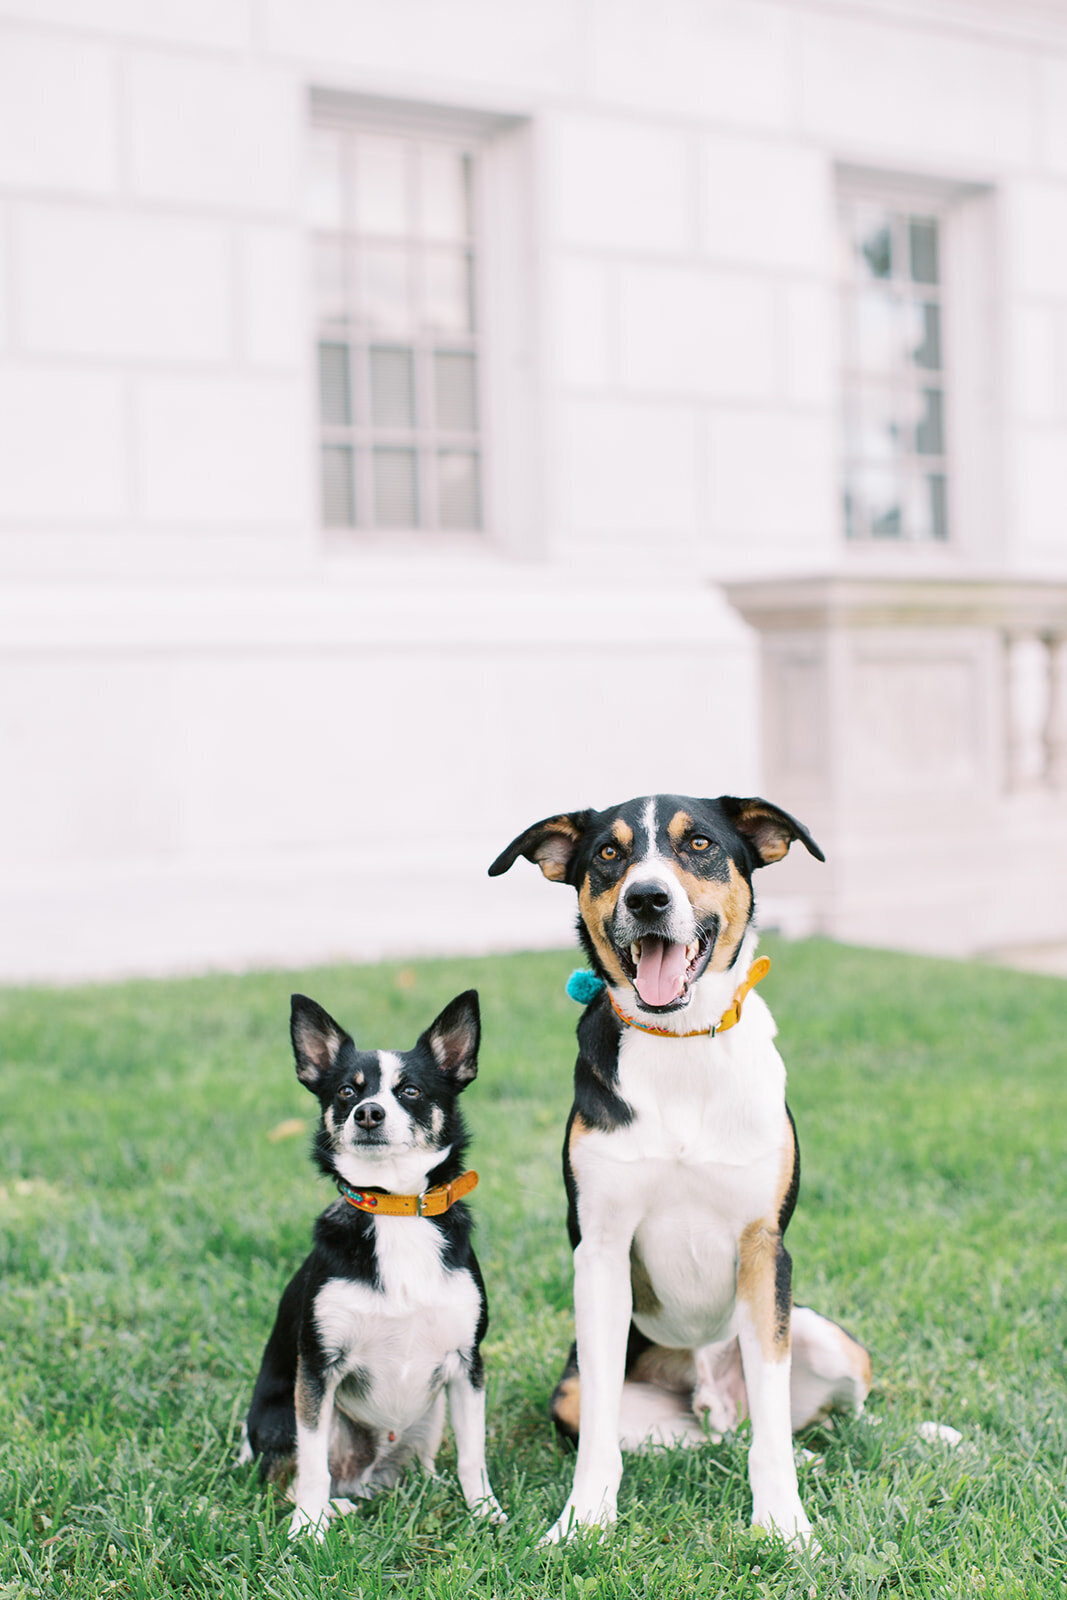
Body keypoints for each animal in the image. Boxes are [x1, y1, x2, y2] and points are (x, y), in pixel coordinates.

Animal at [241, 985, 505, 1536]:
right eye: (346, 1091)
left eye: (411, 1092)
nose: (368, 1113)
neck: (394, 1206)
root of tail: (366, 1476)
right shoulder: (317, 1370)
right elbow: (312, 1466)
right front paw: (307, 1529)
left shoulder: (467, 1364)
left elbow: (473, 1454)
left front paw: (486, 1512)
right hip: (285, 1420)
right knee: (292, 1476)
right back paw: (332, 1507)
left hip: (430, 1417)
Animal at [489, 793, 870, 1542]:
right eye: (608, 853)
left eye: (698, 844)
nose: (647, 898)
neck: (680, 1039)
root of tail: (710, 1400)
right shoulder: (601, 1254)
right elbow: (600, 1430)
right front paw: (581, 1521)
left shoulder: (763, 1249)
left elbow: (774, 1428)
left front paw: (784, 1526)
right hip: (583, 1394)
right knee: (697, 1439)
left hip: (829, 1340)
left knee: (815, 1419)